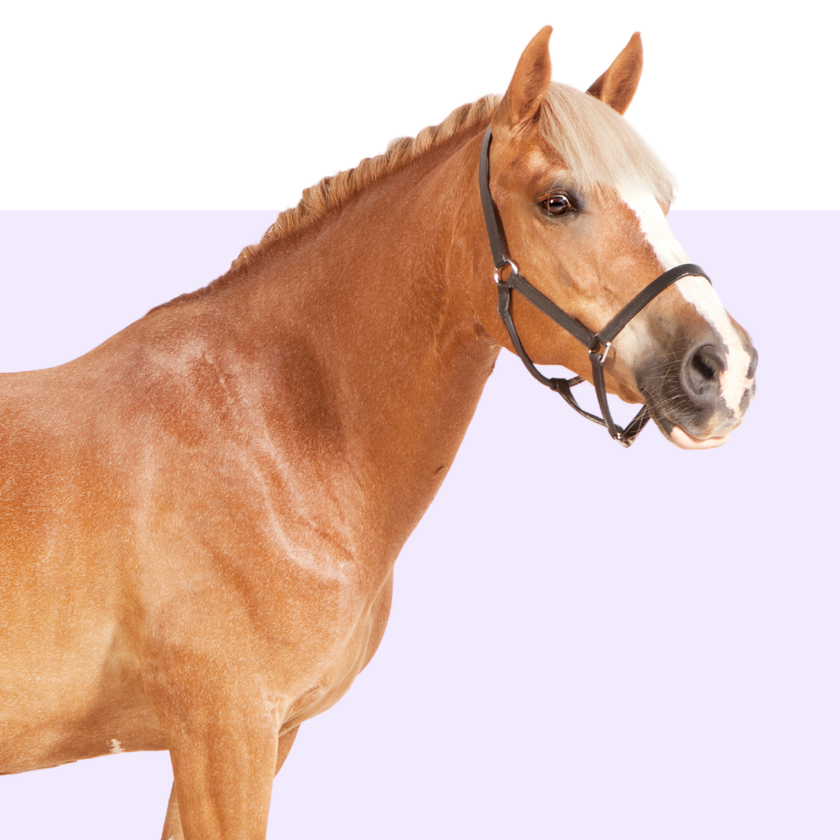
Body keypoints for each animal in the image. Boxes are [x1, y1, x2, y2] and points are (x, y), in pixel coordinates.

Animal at [0, 27, 756, 839]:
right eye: (557, 201)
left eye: (663, 202)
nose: (724, 366)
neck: (267, 431)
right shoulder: (223, 738)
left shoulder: (254, 741)